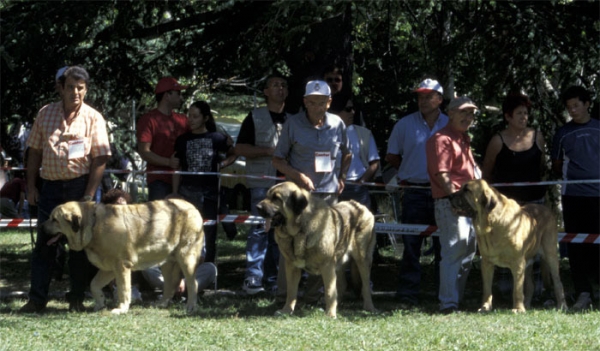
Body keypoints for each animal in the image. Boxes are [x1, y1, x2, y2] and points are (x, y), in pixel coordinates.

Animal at [43, 199, 205, 314]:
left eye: (55, 220)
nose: (41, 226)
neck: (94, 225)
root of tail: (194, 208)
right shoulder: (108, 268)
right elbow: (94, 285)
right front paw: (100, 303)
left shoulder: (122, 266)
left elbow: (123, 289)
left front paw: (121, 309)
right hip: (166, 262)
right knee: (171, 284)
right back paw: (162, 303)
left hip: (186, 258)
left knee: (193, 283)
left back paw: (190, 306)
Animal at [255, 182, 378, 320]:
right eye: (267, 196)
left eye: (276, 198)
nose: (257, 207)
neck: (298, 232)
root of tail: (361, 206)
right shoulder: (292, 267)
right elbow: (291, 291)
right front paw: (286, 310)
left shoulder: (327, 266)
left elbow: (329, 291)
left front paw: (330, 314)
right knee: (342, 285)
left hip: (362, 259)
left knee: (365, 286)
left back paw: (369, 307)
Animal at [450, 180, 568, 314]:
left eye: (467, 190)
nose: (449, 197)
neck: (491, 224)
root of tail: (547, 209)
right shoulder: (486, 263)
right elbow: (487, 289)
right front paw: (485, 307)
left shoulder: (518, 263)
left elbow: (517, 289)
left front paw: (518, 309)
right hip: (528, 262)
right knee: (531, 285)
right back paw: (527, 305)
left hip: (550, 255)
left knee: (558, 283)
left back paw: (562, 306)